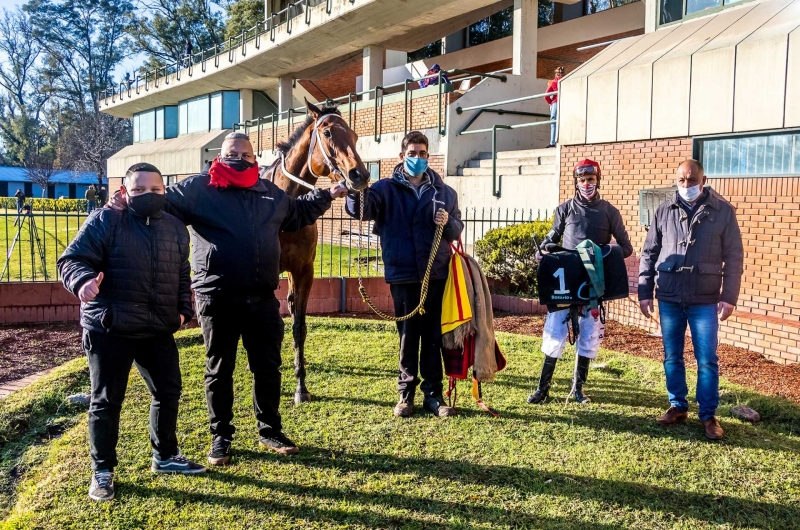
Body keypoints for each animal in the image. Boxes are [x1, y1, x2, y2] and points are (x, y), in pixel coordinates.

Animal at [266, 99, 372, 402]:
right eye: (327, 133)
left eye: (355, 135)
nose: (360, 175)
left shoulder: (303, 271)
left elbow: (299, 326)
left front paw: (301, 386)